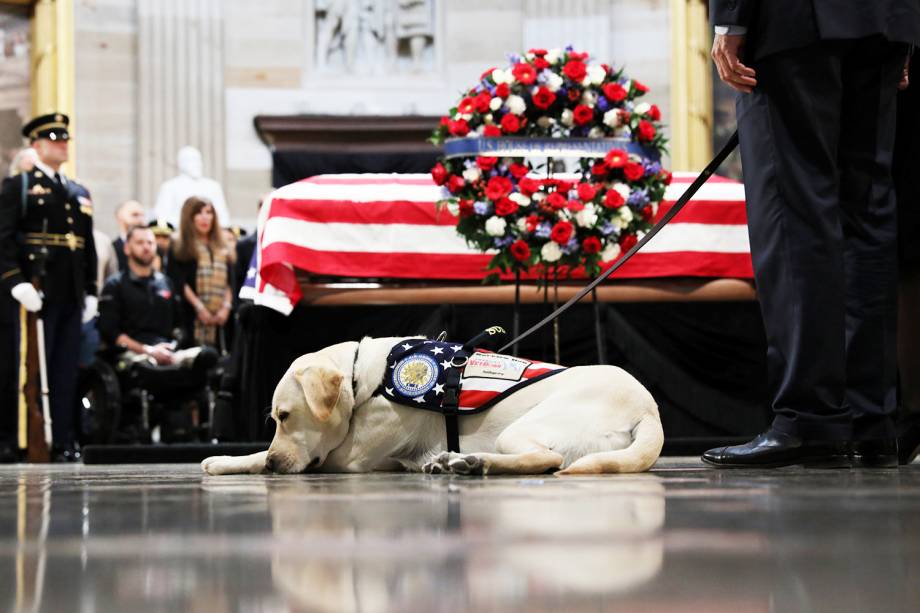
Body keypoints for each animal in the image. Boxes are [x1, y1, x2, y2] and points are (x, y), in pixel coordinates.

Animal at [199, 338, 660, 476]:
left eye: (285, 416)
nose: (276, 464)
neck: (366, 378)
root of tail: (648, 409)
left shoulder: (348, 458)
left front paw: (230, 460)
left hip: (529, 427)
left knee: (545, 459)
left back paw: (473, 463)